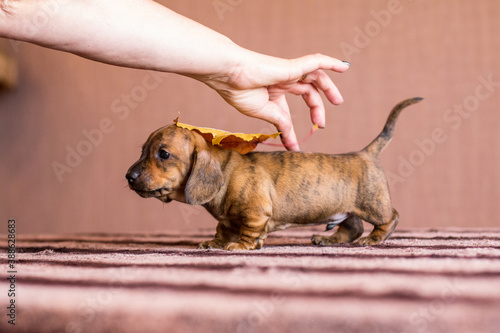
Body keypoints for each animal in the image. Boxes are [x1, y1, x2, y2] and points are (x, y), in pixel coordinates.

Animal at [125, 97, 422, 250]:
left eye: (163, 154)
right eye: (142, 150)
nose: (129, 177)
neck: (225, 171)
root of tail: (364, 153)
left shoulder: (256, 214)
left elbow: (248, 232)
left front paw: (241, 246)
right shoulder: (227, 219)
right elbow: (223, 228)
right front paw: (215, 242)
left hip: (372, 204)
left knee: (389, 218)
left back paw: (374, 239)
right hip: (344, 209)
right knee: (352, 227)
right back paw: (328, 239)